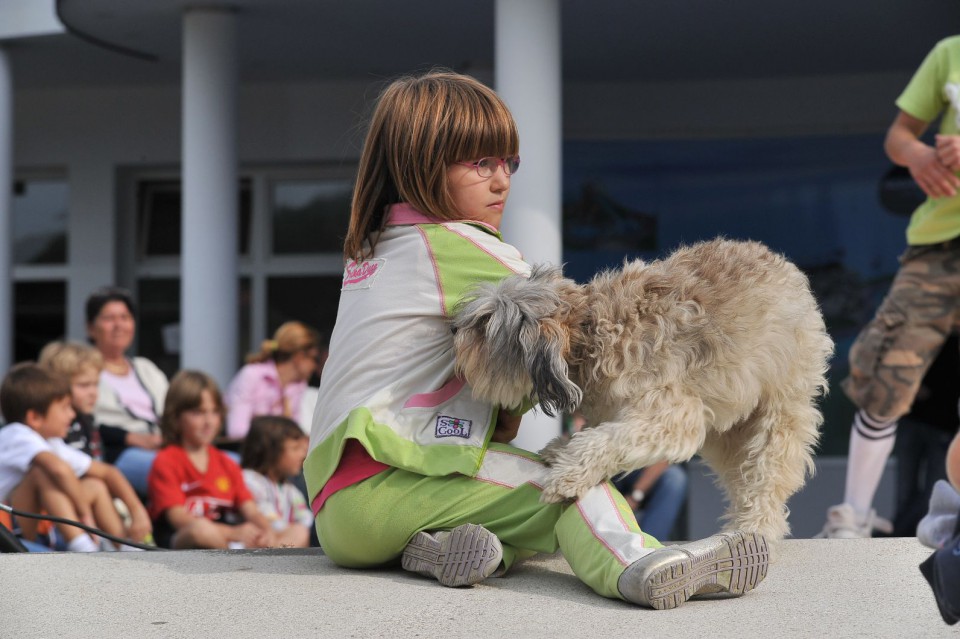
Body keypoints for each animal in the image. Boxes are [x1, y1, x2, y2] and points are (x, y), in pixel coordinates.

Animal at [454, 238, 836, 544]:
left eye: (484, 326)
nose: (454, 328)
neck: (586, 332)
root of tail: (781, 262)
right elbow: (597, 434)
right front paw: (562, 451)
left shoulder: (672, 414)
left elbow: (606, 440)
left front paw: (567, 475)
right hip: (728, 429)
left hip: (778, 408)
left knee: (766, 474)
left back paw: (754, 529)